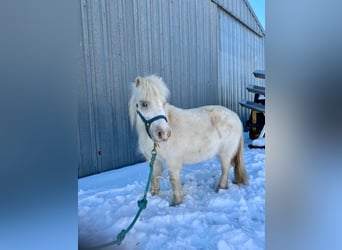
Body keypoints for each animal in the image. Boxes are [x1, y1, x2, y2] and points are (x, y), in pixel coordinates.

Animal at [130, 75, 247, 206]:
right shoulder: (155, 161)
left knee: (225, 169)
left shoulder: (173, 161)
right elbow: (154, 178)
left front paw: (176, 203)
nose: (164, 134)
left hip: (225, 153)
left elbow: (174, 180)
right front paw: (153, 196)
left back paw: (220, 188)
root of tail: (236, 117)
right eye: (144, 104)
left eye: (163, 103)